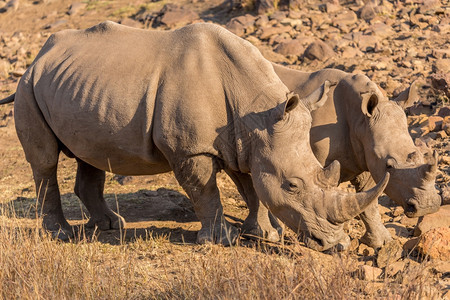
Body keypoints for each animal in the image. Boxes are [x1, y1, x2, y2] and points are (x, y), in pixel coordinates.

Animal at [0, 21, 388, 251]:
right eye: (293, 185)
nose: (338, 245)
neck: (255, 106)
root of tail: (39, 56)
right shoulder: (190, 149)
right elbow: (206, 191)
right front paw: (221, 240)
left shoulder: (244, 139)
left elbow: (252, 188)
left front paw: (264, 234)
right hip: (28, 86)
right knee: (45, 161)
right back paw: (61, 234)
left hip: (77, 85)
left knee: (90, 153)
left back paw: (110, 226)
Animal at [256, 64, 440, 247]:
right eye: (389, 165)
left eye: (422, 156)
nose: (427, 206)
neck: (360, 119)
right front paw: (335, 242)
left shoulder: (366, 155)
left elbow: (370, 202)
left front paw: (381, 243)